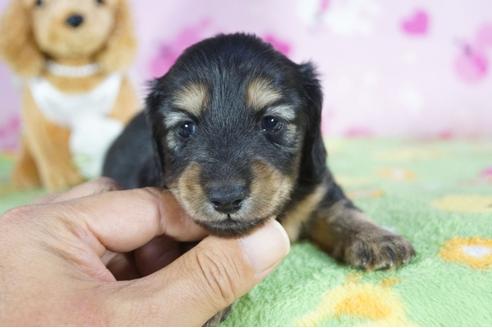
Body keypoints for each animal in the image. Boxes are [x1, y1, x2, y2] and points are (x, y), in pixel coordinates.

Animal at [103, 32, 416, 322]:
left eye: (271, 122)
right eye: (185, 127)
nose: (226, 199)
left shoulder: (318, 188)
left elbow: (340, 210)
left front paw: (378, 238)